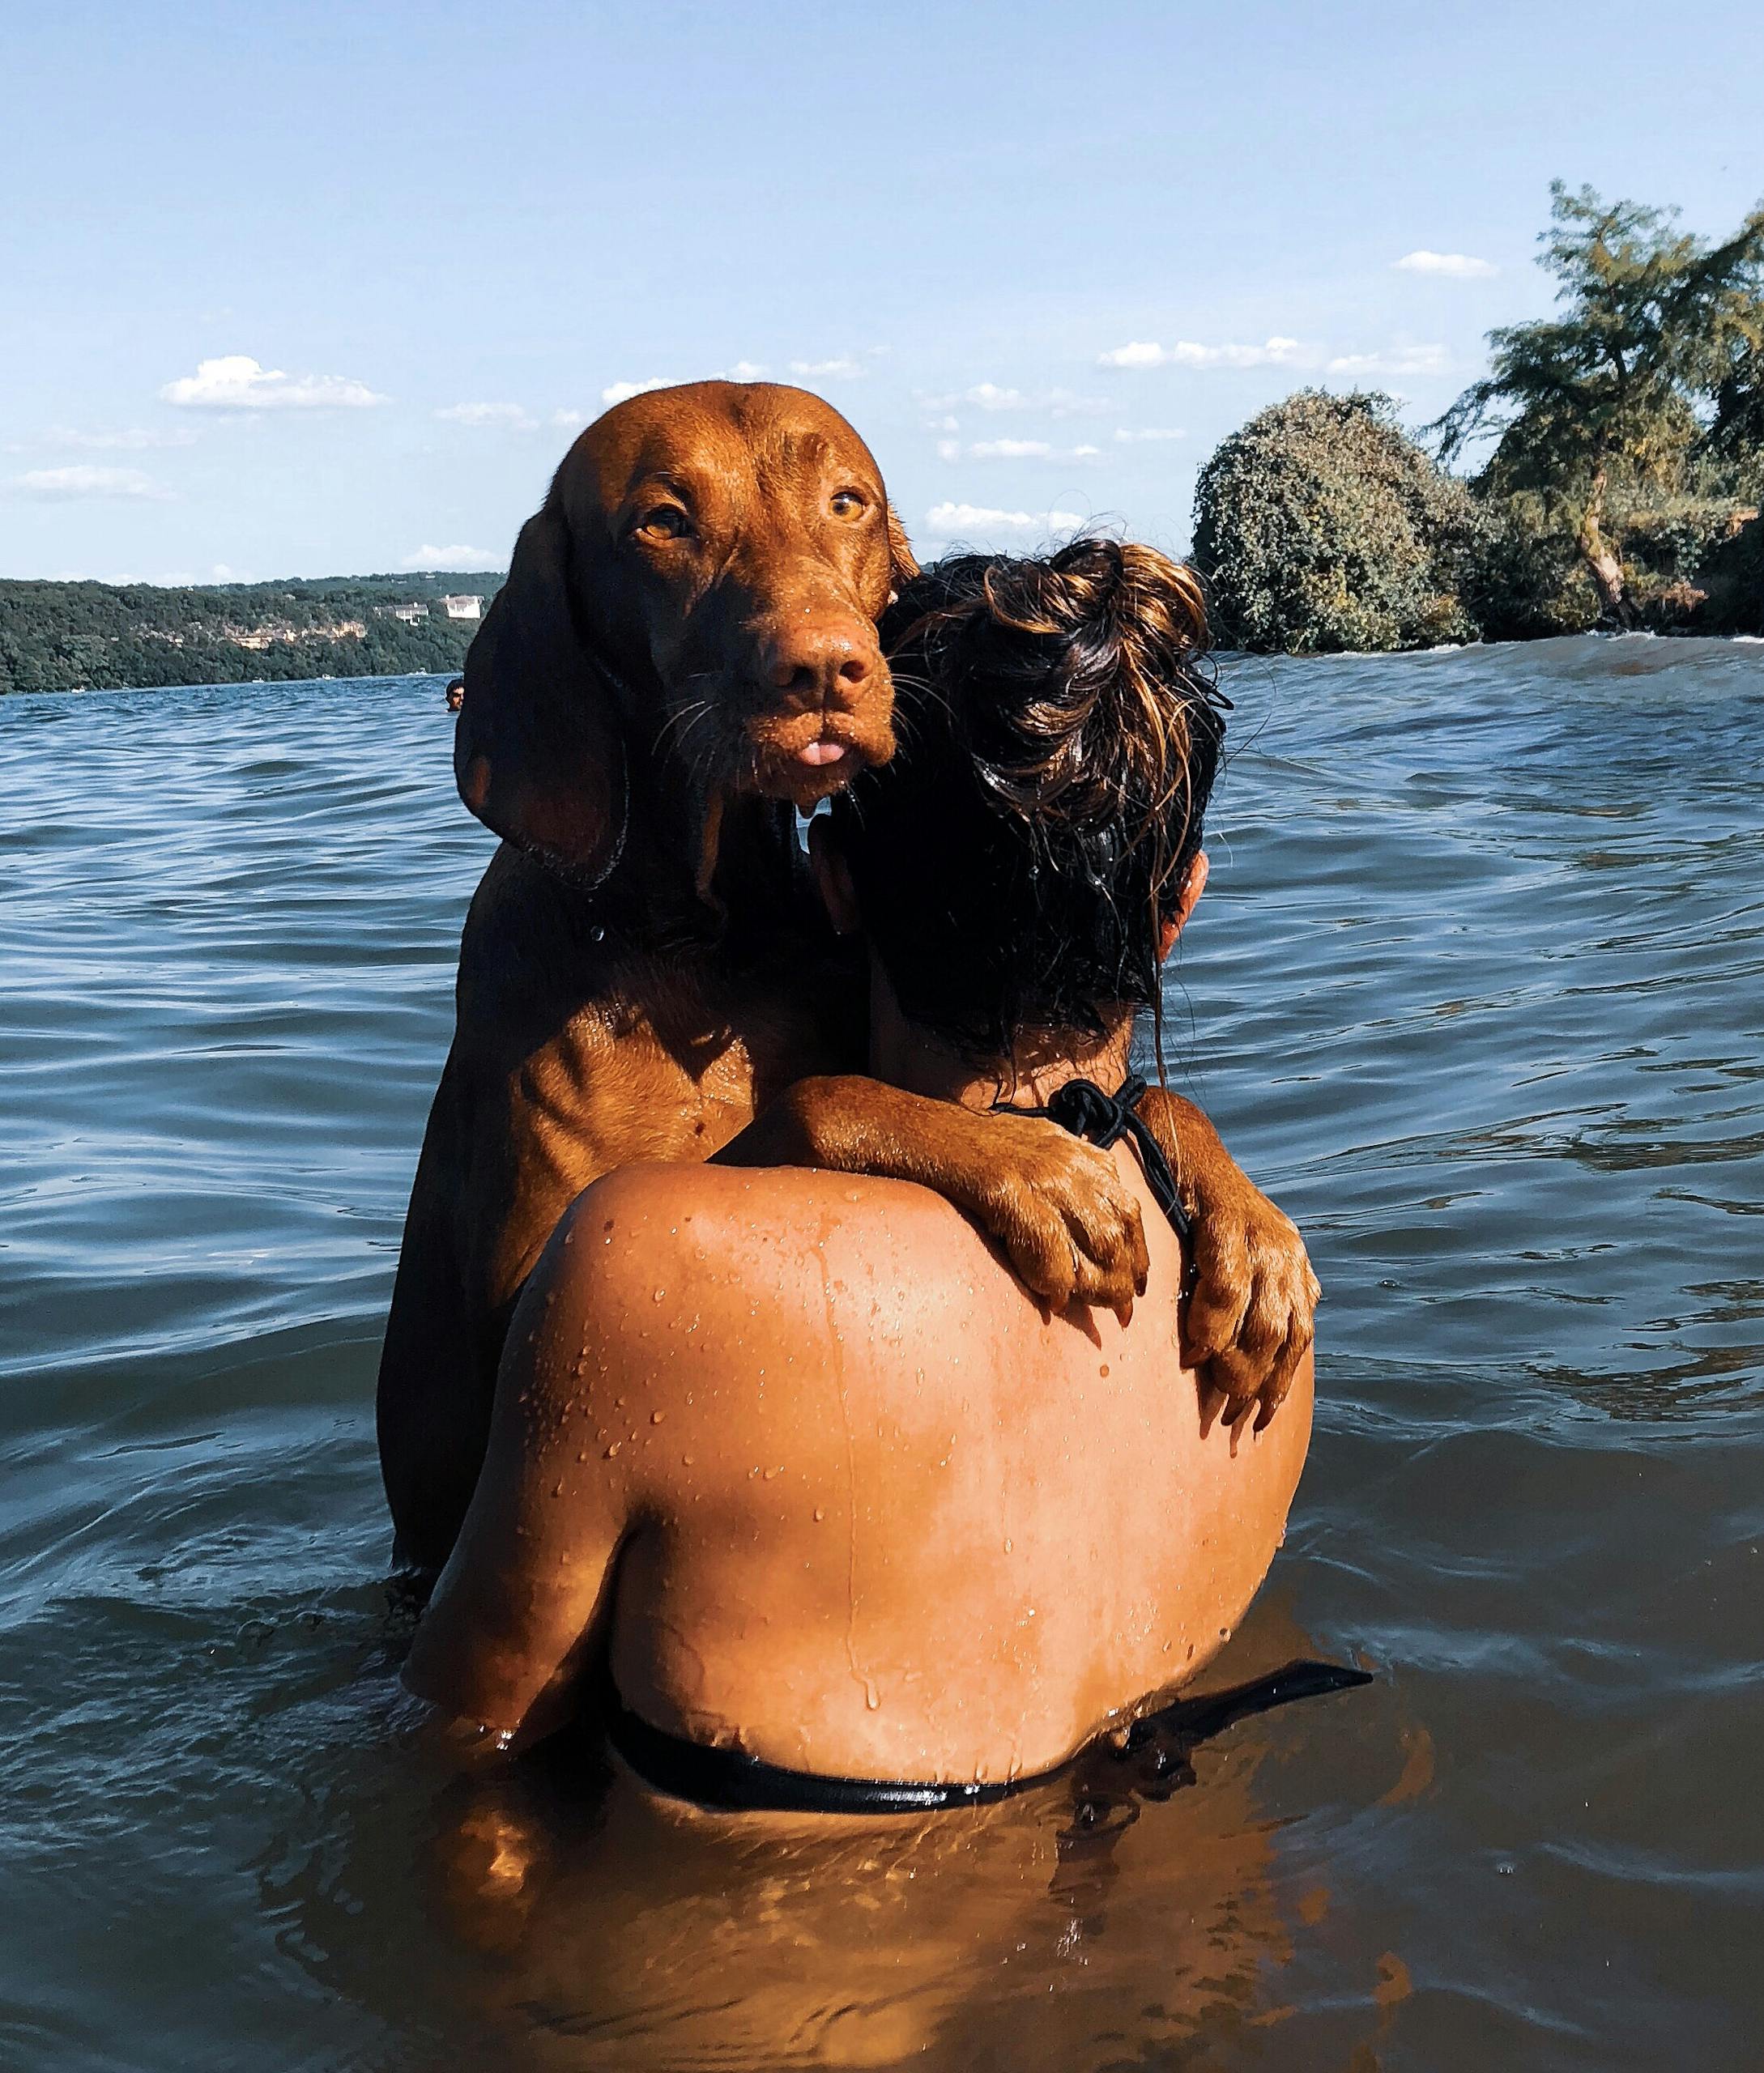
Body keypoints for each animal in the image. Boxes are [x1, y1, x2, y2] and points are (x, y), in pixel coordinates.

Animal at [379, 381, 1318, 1567]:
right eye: (661, 522)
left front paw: (1250, 1232)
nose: (826, 667)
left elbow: (1158, 1097)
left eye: (846, 501)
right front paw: (1031, 1166)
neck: (710, 942)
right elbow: (819, 1099)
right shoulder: (529, 1315)